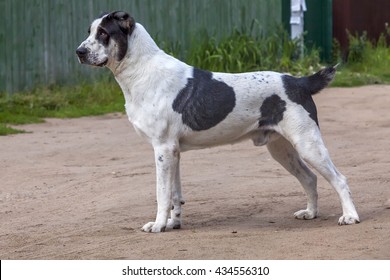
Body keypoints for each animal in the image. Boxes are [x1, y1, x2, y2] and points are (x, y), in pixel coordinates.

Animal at [76, 10, 360, 233]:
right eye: (90, 31)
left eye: (104, 33)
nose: (79, 52)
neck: (142, 71)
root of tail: (300, 82)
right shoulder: (173, 152)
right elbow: (175, 195)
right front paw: (172, 224)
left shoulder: (162, 149)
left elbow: (162, 193)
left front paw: (157, 225)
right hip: (282, 148)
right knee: (309, 178)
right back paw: (310, 213)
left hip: (308, 143)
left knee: (339, 178)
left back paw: (350, 216)